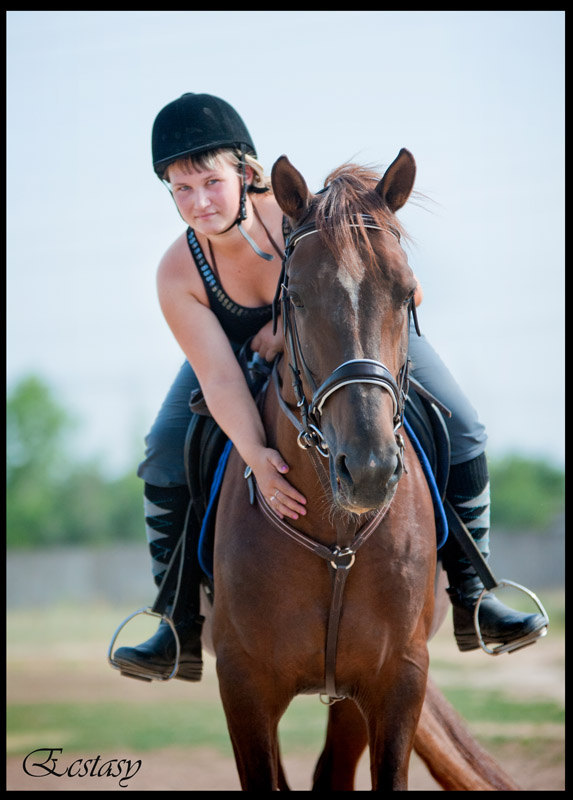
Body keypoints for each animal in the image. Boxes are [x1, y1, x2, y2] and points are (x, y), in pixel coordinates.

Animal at [208, 153, 516, 792]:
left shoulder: (397, 680)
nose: (370, 470)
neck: (337, 541)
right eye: (297, 297)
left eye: (405, 292)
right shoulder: (243, 688)